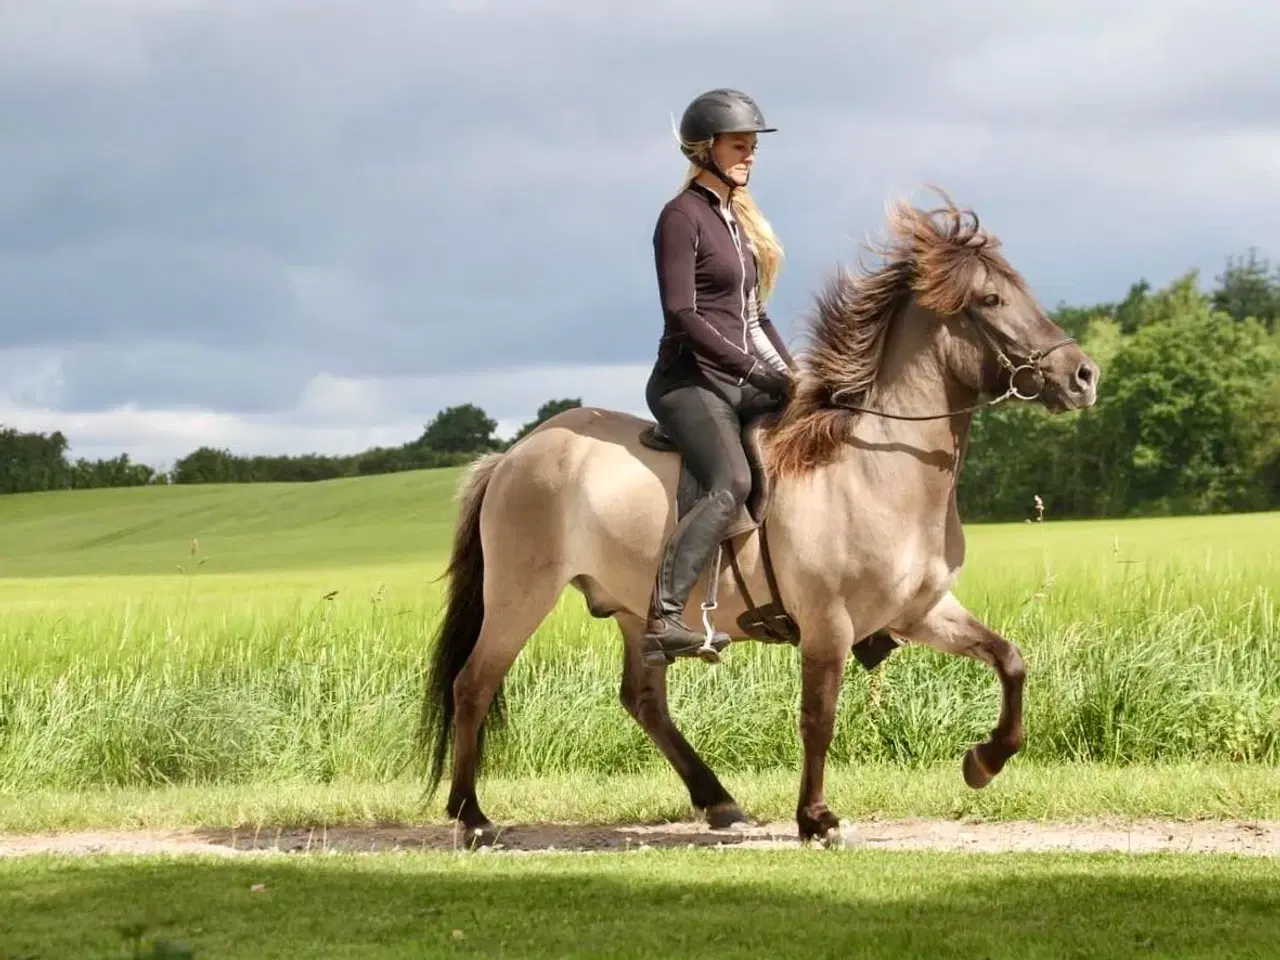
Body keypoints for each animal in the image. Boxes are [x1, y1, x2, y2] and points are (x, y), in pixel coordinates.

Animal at [414, 189, 1095, 849]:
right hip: (520, 594)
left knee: (643, 700)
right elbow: (818, 718)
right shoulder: (827, 623)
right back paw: (473, 818)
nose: (1083, 376)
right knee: (472, 686)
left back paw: (719, 801)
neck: (876, 467)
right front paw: (818, 820)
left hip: (634, 609)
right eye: (990, 298)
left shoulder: (920, 610)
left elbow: (1010, 660)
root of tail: (515, 453)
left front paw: (984, 761)